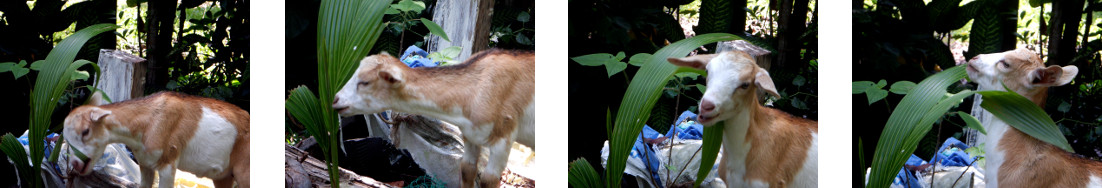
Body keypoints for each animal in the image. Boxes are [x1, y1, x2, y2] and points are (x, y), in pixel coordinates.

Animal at [328, 49, 535, 186]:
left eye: (365, 82)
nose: (335, 100)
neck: (477, 89)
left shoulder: (503, 139)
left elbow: (488, 180)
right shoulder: (471, 136)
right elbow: (467, 170)